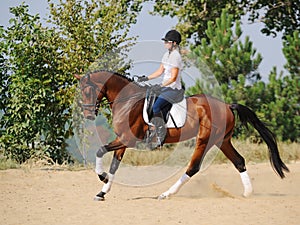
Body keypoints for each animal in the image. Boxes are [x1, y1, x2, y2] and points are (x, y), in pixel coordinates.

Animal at [74, 70, 290, 200]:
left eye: (87, 91)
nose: (88, 114)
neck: (127, 101)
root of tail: (227, 105)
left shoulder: (126, 139)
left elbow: (100, 151)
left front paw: (101, 177)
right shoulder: (123, 141)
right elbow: (114, 165)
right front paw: (102, 192)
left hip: (205, 139)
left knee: (193, 167)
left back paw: (166, 193)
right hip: (222, 141)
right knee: (239, 161)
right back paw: (247, 193)